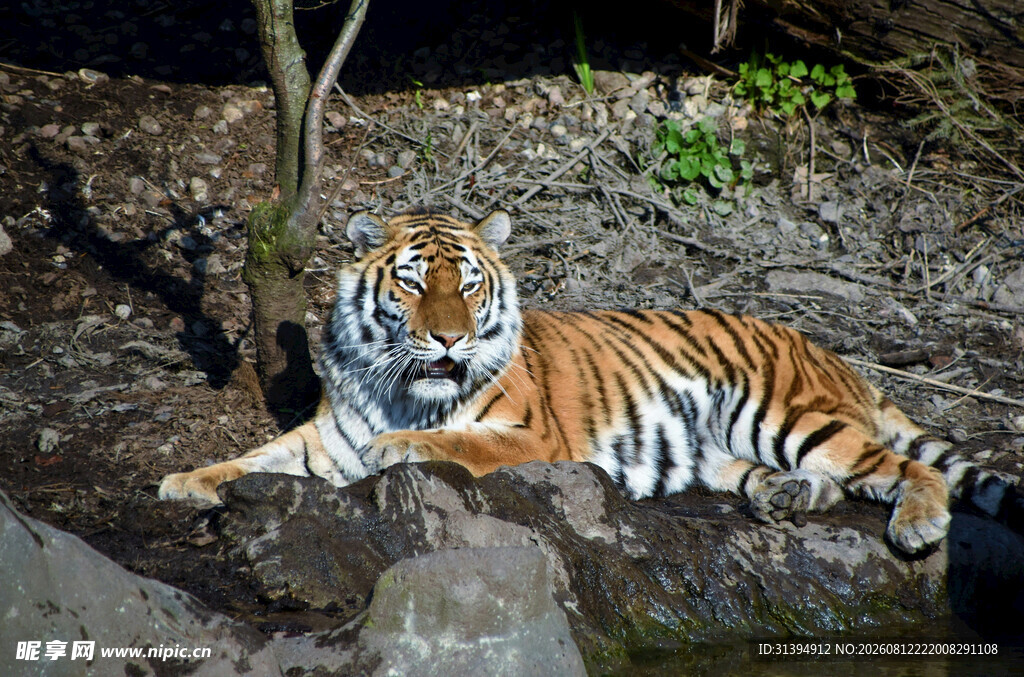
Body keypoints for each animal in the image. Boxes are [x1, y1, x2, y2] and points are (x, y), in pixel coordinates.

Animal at [158, 208, 1023, 554]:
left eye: (466, 283)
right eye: (411, 283)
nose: (450, 335)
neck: (400, 384)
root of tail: (832, 352)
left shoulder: (534, 435)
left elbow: (456, 442)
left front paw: (403, 447)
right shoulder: (327, 436)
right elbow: (257, 458)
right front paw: (183, 482)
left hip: (785, 412)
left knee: (898, 464)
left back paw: (918, 523)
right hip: (729, 449)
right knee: (831, 479)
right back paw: (784, 498)